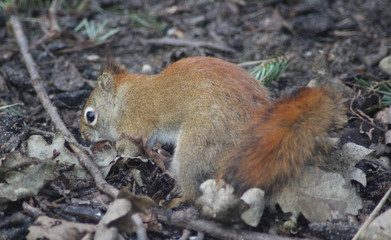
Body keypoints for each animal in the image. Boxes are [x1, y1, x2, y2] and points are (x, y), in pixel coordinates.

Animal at [79, 56, 346, 201]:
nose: (82, 135)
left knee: (193, 188)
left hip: (199, 142)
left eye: (90, 116)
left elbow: (126, 149)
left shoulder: (133, 125)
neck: (124, 98)